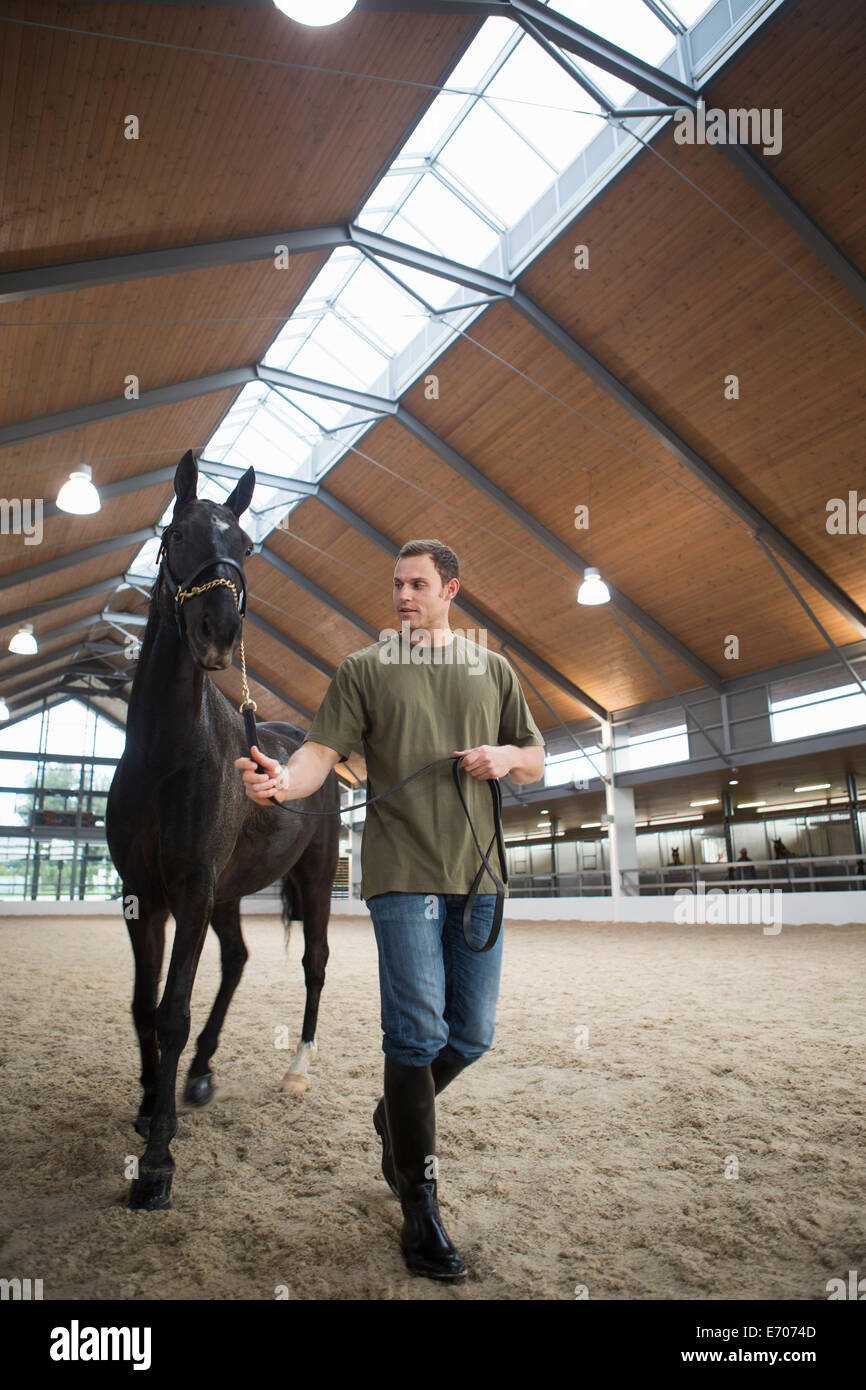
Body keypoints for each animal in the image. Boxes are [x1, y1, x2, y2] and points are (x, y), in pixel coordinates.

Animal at [105, 450, 340, 1211]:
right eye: (177, 536)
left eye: (245, 547)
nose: (217, 632)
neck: (166, 751)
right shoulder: (145, 897)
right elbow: (143, 1006)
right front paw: (149, 1103)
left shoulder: (191, 890)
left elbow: (172, 1011)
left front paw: (156, 1164)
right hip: (230, 894)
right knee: (236, 959)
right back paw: (202, 1071)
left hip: (310, 880)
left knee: (314, 962)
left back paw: (297, 1069)